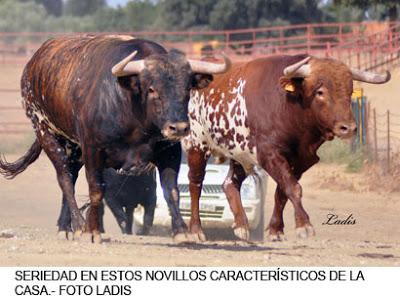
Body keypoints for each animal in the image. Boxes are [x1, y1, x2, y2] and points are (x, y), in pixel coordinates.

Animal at [0, 34, 230, 243]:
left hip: (73, 147)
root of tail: (33, 65)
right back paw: (79, 225)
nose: (179, 127)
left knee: (71, 177)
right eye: (151, 89)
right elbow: (96, 190)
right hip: (45, 131)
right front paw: (92, 231)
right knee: (64, 178)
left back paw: (66, 227)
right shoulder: (93, 150)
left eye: (187, 89)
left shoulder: (170, 152)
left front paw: (182, 231)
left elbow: (171, 190)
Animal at [184, 54, 390, 241]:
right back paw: (196, 230)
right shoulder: (269, 155)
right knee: (195, 183)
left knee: (230, 183)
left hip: (240, 152)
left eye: (350, 91)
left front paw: (276, 229)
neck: (288, 106)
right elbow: (293, 188)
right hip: (197, 145)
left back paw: (241, 224)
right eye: (320, 91)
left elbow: (282, 191)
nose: (348, 128)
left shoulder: (302, 159)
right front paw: (304, 225)